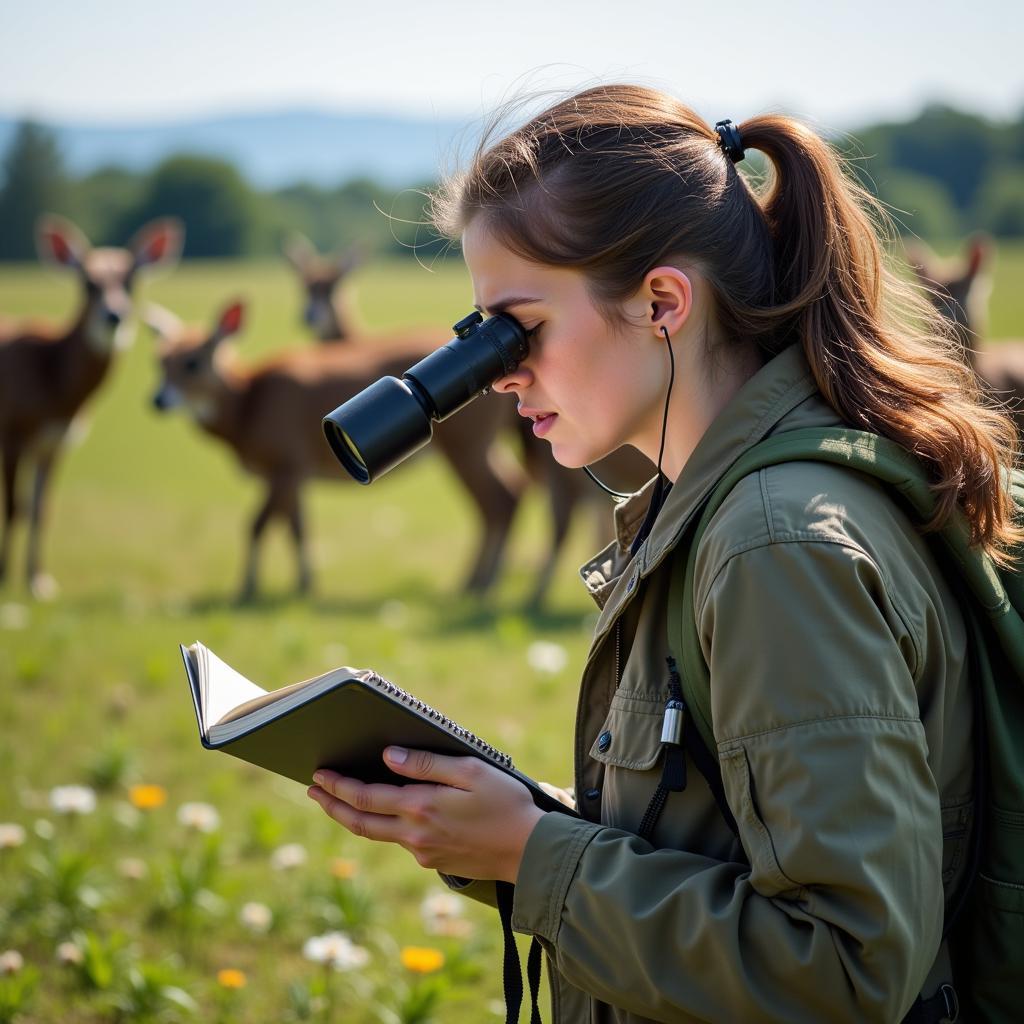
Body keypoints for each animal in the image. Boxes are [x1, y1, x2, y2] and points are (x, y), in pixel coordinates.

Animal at [0, 216, 182, 598]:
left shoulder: (55, 442)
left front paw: (38, 580)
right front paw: (5, 577)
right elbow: (12, 506)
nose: (114, 314)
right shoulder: (12, 432)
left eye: (131, 280)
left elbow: (40, 509)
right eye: (87, 282)